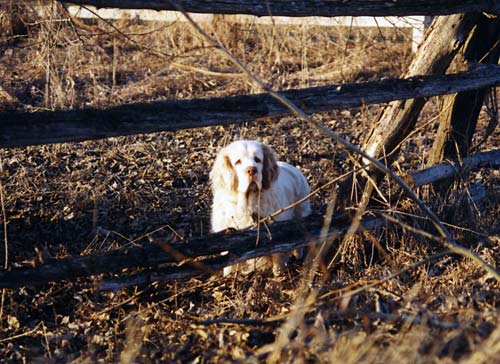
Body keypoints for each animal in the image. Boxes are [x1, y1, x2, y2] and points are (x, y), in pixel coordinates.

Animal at [209, 140, 310, 276]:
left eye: (257, 160)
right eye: (238, 161)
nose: (252, 170)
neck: (247, 203)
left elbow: (278, 254)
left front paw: (278, 272)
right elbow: (228, 260)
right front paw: (228, 275)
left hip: (301, 210)